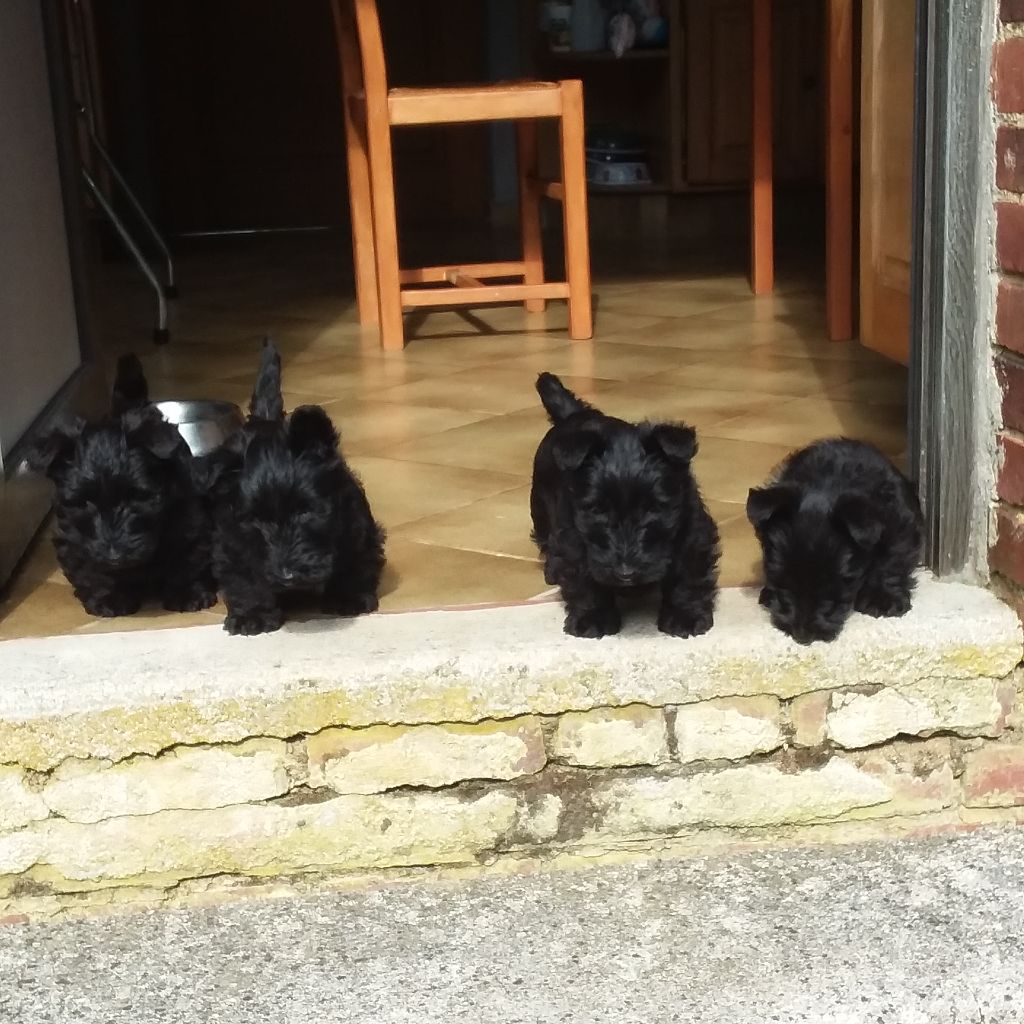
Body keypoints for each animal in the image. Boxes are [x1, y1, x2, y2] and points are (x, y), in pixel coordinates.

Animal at [29, 352, 215, 614]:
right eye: (83, 503)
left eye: (137, 497)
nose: (114, 556)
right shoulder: (74, 539)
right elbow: (93, 570)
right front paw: (110, 599)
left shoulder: (189, 519)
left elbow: (187, 557)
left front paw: (188, 594)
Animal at [194, 339, 385, 634]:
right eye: (255, 521)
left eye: (305, 512)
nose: (287, 576)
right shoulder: (232, 541)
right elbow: (244, 578)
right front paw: (253, 615)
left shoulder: (355, 526)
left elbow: (352, 559)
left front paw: (349, 598)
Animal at [532, 368, 716, 638]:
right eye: (598, 510)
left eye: (653, 509)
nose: (625, 573)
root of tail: (574, 414)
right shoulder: (576, 538)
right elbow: (584, 578)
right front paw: (592, 618)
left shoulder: (692, 531)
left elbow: (688, 575)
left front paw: (685, 616)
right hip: (541, 508)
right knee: (547, 541)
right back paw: (553, 570)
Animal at [749, 436, 925, 643]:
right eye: (781, 580)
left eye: (837, 583)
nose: (802, 635)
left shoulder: (900, 524)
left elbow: (892, 560)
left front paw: (883, 599)